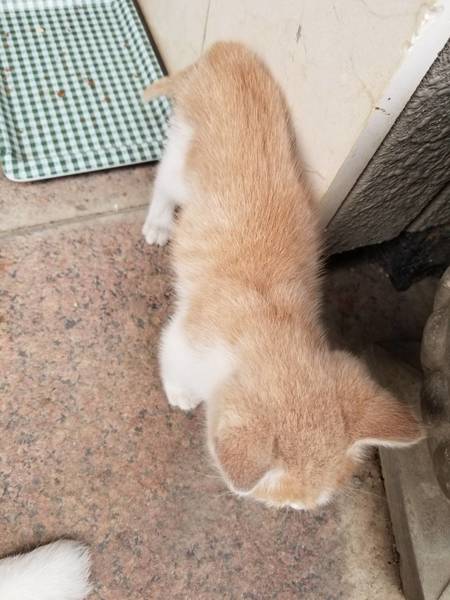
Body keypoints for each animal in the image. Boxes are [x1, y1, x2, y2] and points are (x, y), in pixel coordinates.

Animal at [142, 41, 423, 510]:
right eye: (285, 503)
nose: (296, 512)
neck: (272, 327)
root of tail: (227, 53)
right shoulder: (186, 337)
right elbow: (173, 360)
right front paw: (182, 395)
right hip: (182, 152)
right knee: (163, 184)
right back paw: (159, 224)